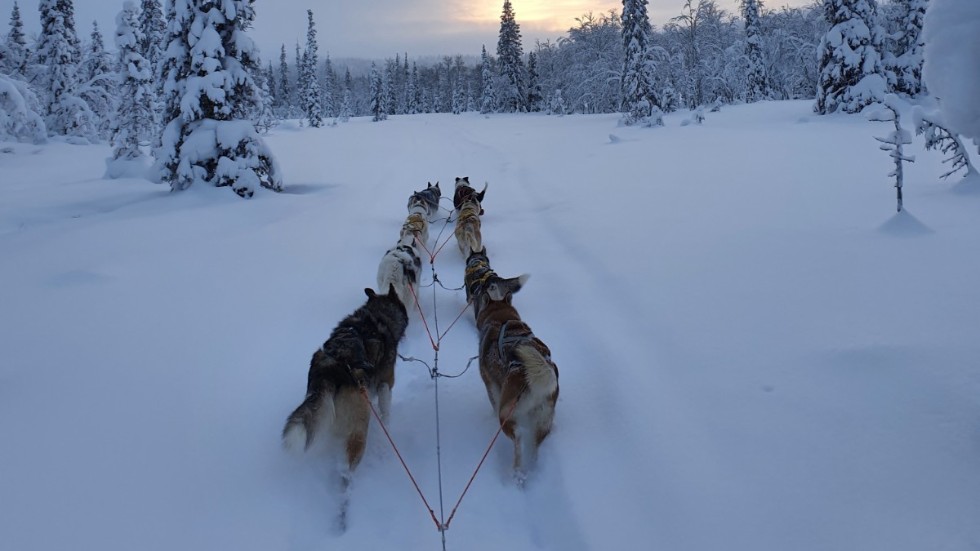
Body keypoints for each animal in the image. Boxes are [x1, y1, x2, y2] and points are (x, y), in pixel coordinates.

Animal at [282, 284, 408, 478]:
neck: (379, 317)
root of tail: (331, 368)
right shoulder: (386, 383)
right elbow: (386, 409)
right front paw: (387, 427)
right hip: (359, 423)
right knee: (349, 461)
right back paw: (345, 478)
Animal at [468, 264, 556, 484]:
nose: (479, 290)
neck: (502, 319)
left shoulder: (491, 387)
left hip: (506, 414)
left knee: (518, 438)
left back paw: (517, 472)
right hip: (543, 422)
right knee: (534, 446)